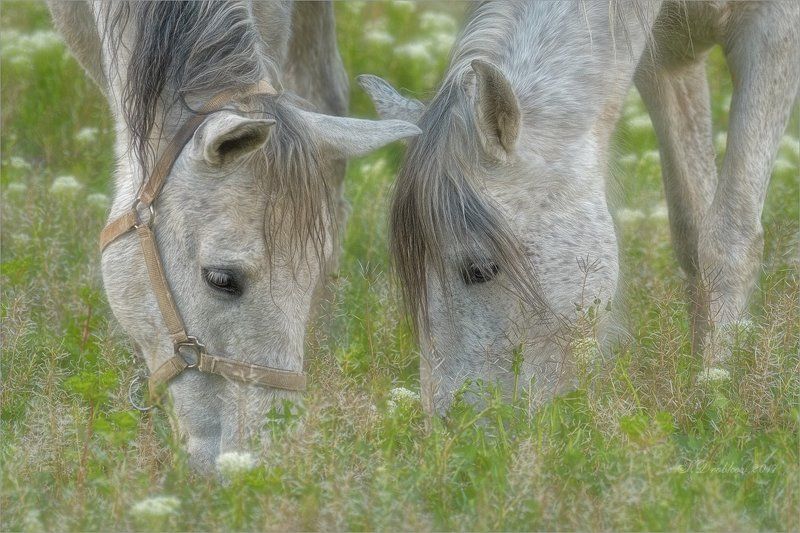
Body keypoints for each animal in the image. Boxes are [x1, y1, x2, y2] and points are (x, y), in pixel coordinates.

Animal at [360, 1, 799, 415]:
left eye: (480, 269)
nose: (450, 427)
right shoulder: (667, 57)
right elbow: (692, 234)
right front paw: (705, 376)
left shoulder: (775, 28)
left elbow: (728, 240)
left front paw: (712, 390)